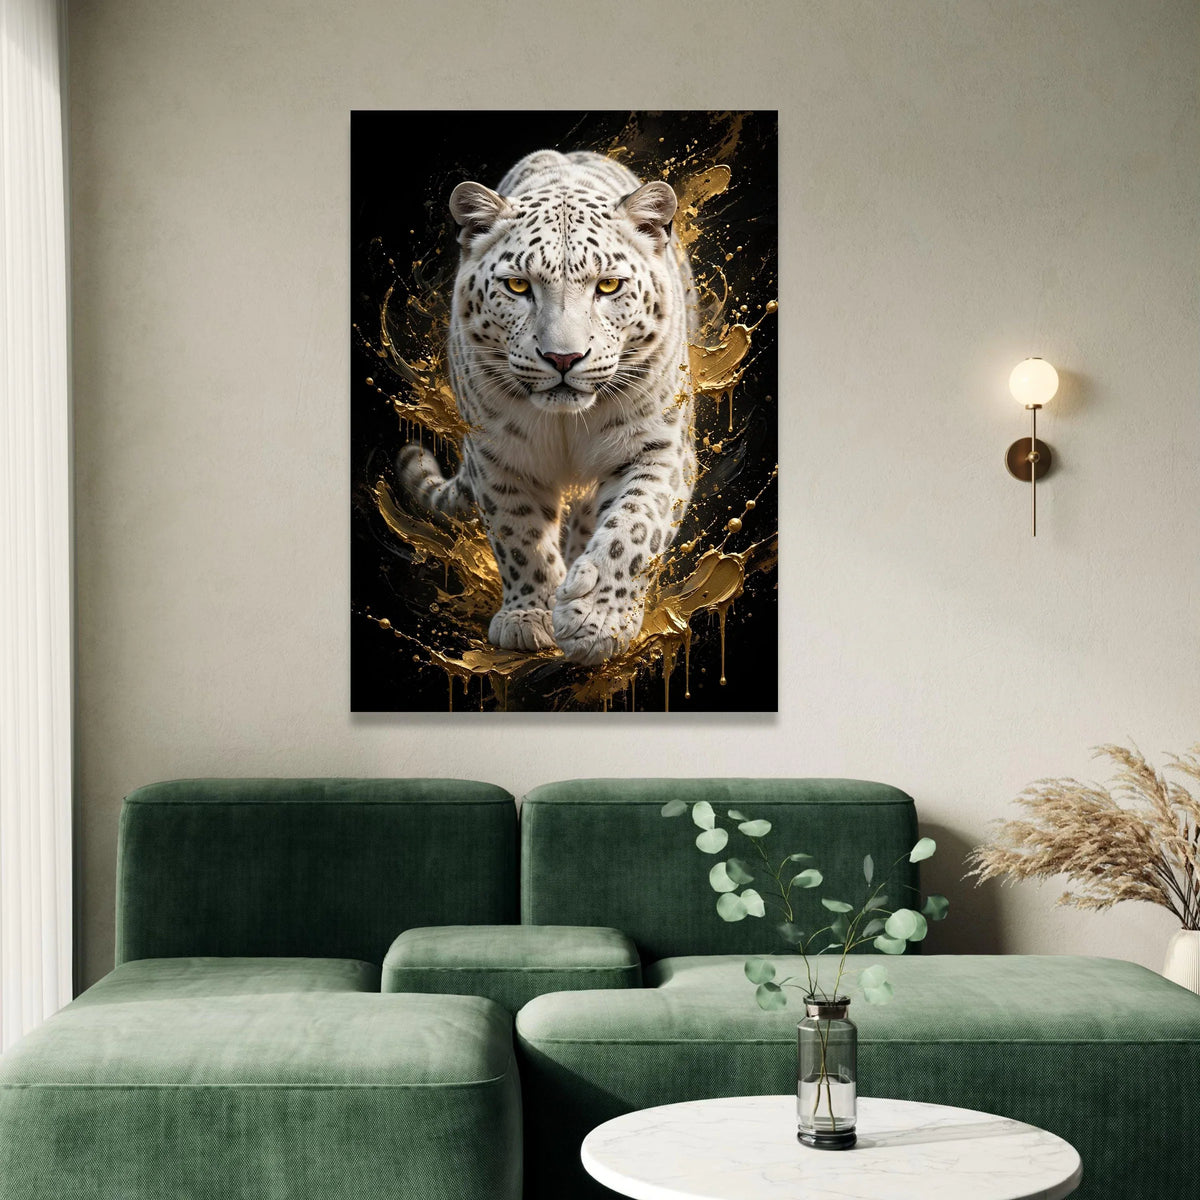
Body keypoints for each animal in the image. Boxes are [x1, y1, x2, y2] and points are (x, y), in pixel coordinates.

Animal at [400, 149, 696, 665]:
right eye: (518, 286)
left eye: (609, 285)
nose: (563, 357)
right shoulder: (497, 456)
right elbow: (519, 536)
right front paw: (528, 618)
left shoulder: (660, 450)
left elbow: (633, 528)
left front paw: (595, 622)